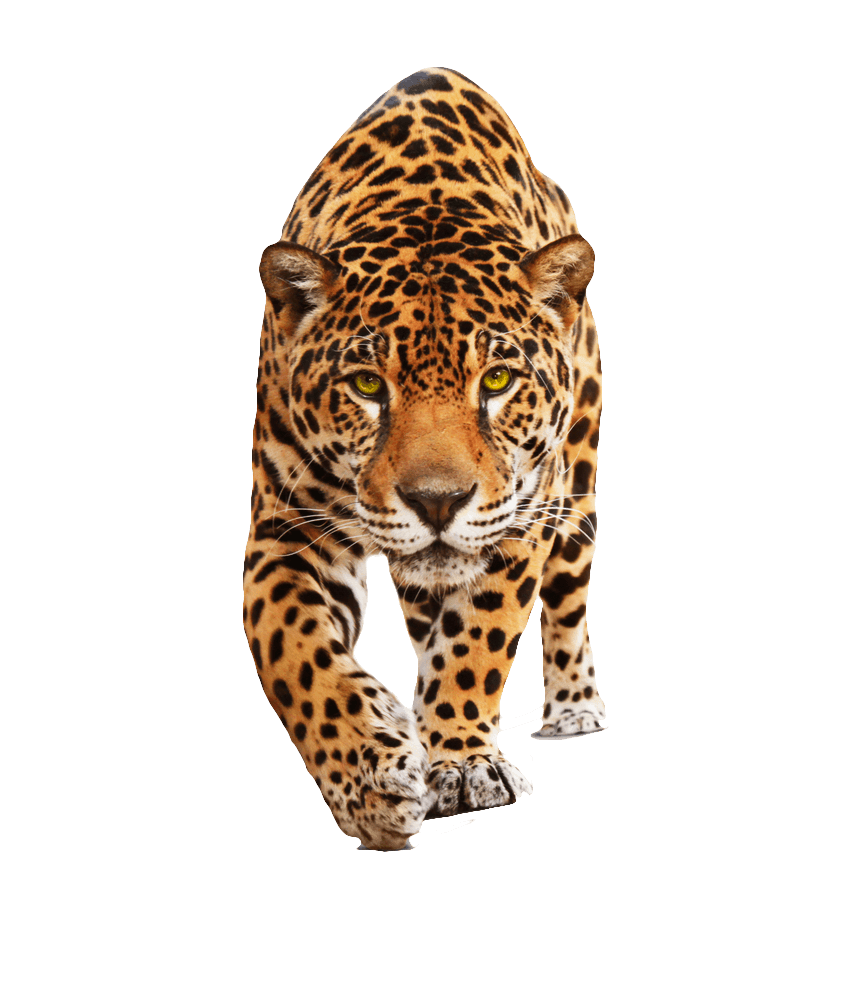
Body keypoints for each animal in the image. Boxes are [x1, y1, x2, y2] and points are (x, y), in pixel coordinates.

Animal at [244, 67, 605, 851]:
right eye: (366, 386)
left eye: (496, 381)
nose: (437, 501)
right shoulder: (285, 531)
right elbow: (293, 653)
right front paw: (369, 779)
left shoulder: (518, 517)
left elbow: (478, 639)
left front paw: (462, 764)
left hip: (577, 492)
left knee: (566, 601)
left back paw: (571, 709)